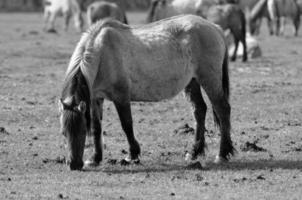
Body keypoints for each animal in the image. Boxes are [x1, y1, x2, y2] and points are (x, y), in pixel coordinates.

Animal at [59, 14, 234, 170]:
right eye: (63, 132)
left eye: (82, 130)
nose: (74, 165)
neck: (102, 53)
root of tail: (215, 28)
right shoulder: (96, 97)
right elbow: (97, 128)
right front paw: (95, 159)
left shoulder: (121, 96)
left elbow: (126, 125)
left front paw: (132, 155)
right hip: (193, 82)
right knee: (199, 110)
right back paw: (194, 152)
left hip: (209, 80)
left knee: (222, 109)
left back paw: (222, 154)